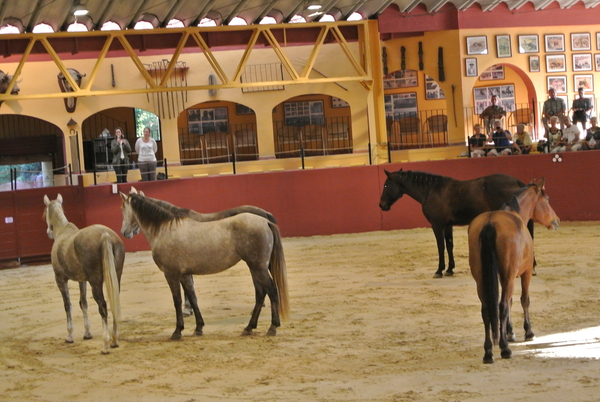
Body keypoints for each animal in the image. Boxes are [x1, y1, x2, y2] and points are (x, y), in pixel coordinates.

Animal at [43, 195, 124, 354]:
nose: (48, 232)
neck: (63, 232)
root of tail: (105, 234)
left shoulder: (61, 279)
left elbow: (67, 305)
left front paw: (69, 335)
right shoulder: (82, 281)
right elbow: (83, 303)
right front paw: (87, 333)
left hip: (96, 283)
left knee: (103, 306)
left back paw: (105, 344)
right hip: (115, 278)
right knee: (114, 302)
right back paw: (114, 340)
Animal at [380, 168, 528, 278]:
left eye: (386, 185)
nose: (381, 205)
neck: (431, 191)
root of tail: (516, 181)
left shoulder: (437, 225)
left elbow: (441, 247)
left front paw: (439, 270)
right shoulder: (447, 225)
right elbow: (449, 245)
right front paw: (450, 269)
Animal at [466, 177, 560, 362]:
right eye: (547, 199)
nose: (556, 220)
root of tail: (490, 223)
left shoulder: (502, 278)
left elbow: (509, 302)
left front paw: (509, 333)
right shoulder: (524, 273)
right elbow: (523, 300)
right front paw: (528, 332)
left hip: (481, 279)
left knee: (486, 309)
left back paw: (488, 352)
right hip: (510, 276)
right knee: (501, 306)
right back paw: (504, 349)